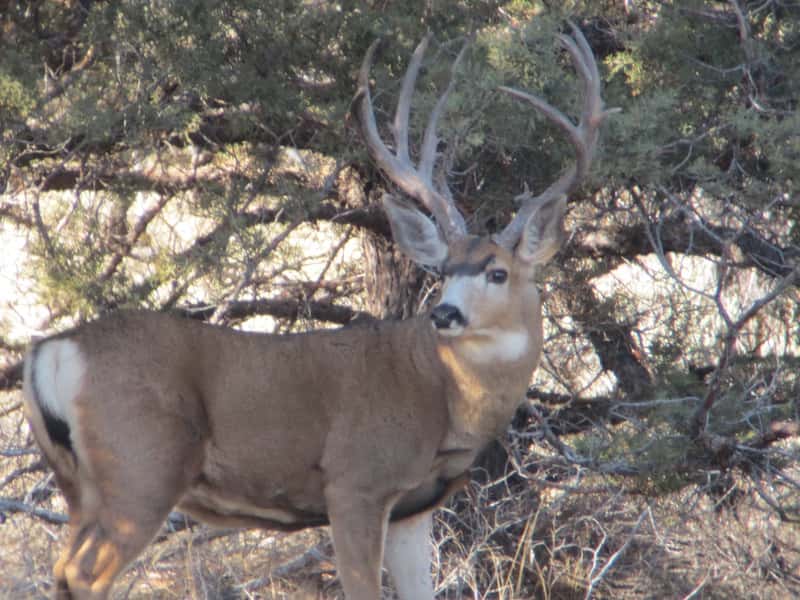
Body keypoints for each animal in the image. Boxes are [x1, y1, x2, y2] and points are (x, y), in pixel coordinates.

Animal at [22, 23, 613, 600]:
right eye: (444, 270)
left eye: (497, 272)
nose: (444, 314)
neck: (439, 393)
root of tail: (52, 350)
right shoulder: (355, 481)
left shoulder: (413, 506)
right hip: (141, 466)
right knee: (83, 574)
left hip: (80, 487)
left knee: (62, 568)